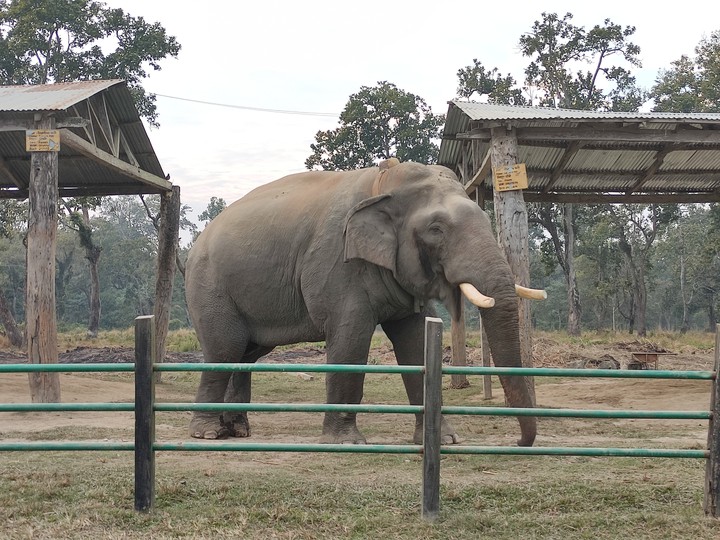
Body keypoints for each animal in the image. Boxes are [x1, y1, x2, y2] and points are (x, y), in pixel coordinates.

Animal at [185, 158, 539, 447]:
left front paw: (446, 440)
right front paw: (346, 442)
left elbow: (415, 344)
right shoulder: (337, 263)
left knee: (247, 353)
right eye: (436, 229)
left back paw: (237, 431)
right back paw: (208, 433)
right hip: (208, 286)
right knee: (225, 347)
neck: (383, 181)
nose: (519, 443)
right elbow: (350, 341)